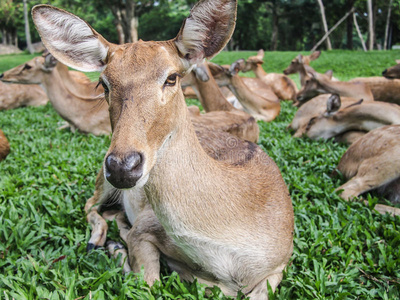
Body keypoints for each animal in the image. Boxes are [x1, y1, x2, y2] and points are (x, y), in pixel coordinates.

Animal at [32, 0, 294, 298]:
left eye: (172, 77)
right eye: (103, 83)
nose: (123, 166)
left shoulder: (279, 264)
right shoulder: (145, 228)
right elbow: (148, 283)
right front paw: (121, 251)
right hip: (102, 182)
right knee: (91, 206)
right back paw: (102, 242)